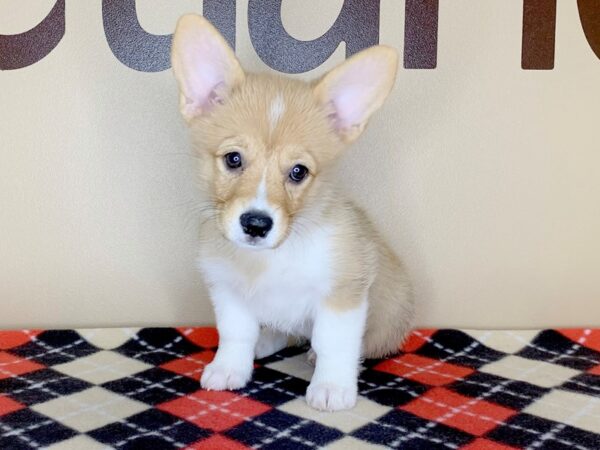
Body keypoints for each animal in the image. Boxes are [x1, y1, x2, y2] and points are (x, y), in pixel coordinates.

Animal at [169, 14, 412, 412]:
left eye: (298, 171)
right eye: (233, 159)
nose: (256, 224)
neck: (270, 259)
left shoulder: (342, 294)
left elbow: (334, 343)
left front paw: (331, 387)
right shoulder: (227, 291)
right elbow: (236, 334)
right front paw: (229, 369)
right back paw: (266, 340)